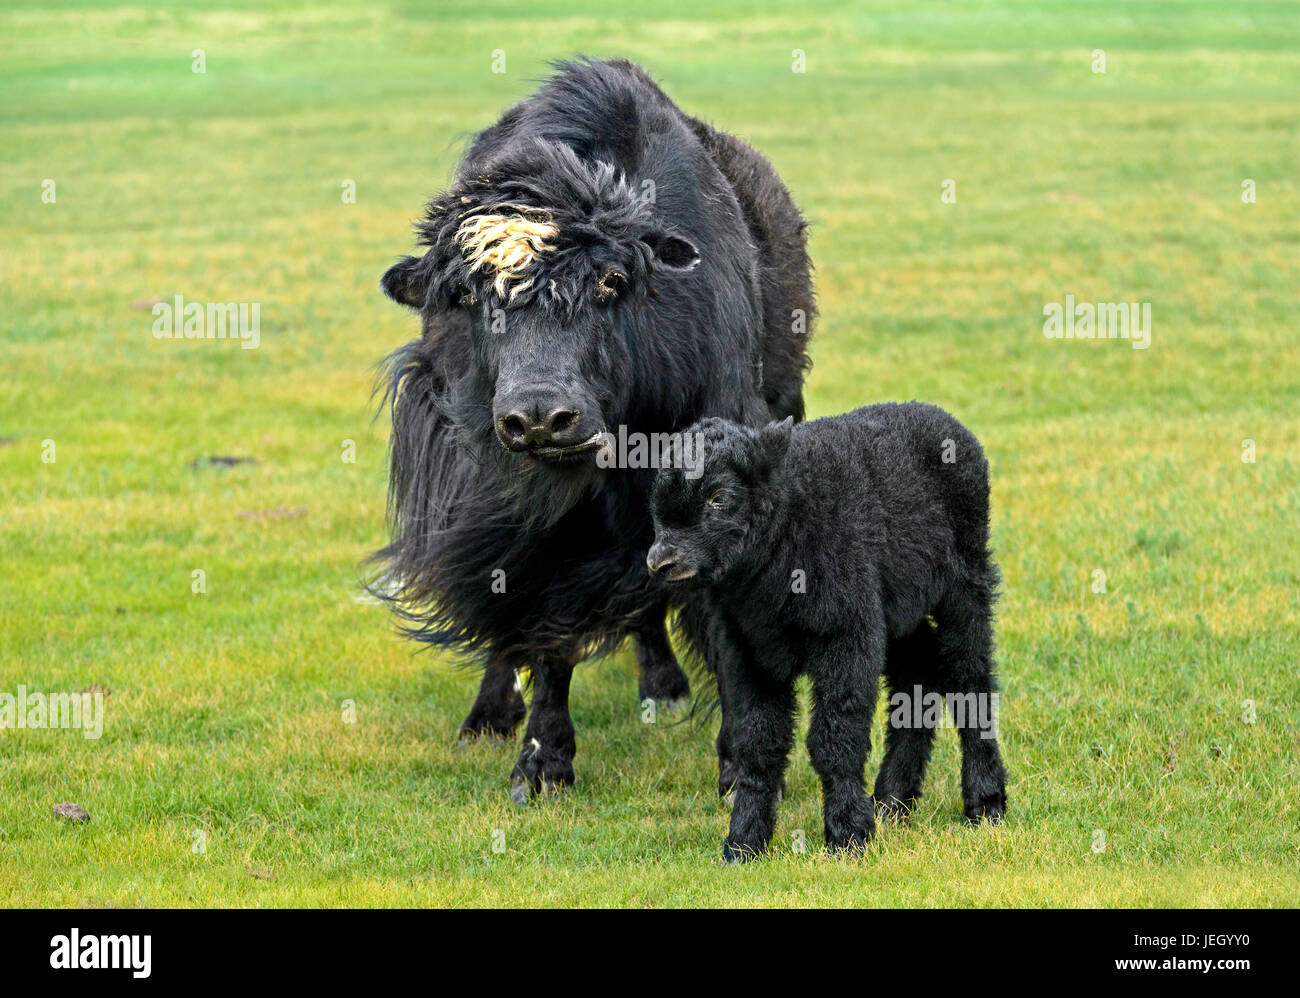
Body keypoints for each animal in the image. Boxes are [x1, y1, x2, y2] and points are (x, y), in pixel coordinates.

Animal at [647, 400, 1003, 862]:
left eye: (719, 498)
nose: (661, 562)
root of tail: (947, 421)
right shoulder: (747, 649)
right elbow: (757, 745)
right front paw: (743, 844)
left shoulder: (845, 632)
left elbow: (836, 738)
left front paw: (848, 836)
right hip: (897, 607)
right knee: (917, 672)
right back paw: (892, 802)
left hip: (965, 582)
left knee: (970, 676)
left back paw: (985, 802)